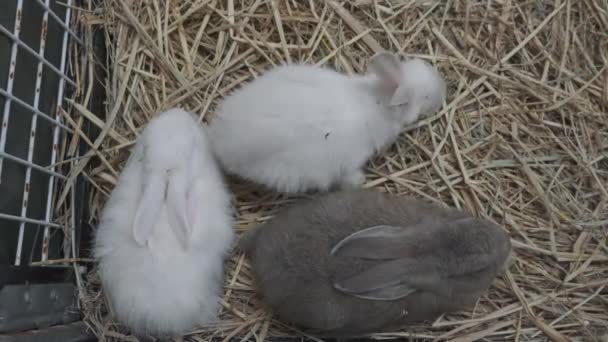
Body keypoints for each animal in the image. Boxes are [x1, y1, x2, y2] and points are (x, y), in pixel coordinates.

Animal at [207, 52, 448, 194]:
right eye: (425, 96)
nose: (443, 86)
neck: (377, 100)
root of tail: (220, 140)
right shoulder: (350, 162)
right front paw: (359, 182)